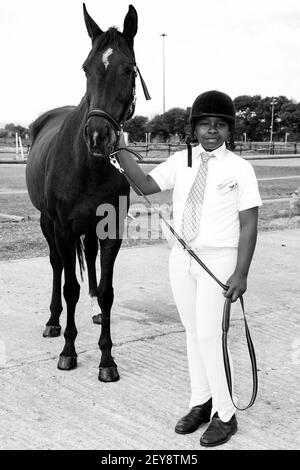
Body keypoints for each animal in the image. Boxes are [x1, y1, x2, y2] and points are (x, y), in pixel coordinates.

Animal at [25, 4, 149, 382]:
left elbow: (106, 290)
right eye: (85, 68)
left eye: (129, 69)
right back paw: (53, 321)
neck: (88, 166)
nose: (97, 136)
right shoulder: (63, 229)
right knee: (57, 268)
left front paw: (107, 358)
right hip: (47, 224)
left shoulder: (111, 229)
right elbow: (70, 288)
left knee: (90, 260)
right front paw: (68, 350)